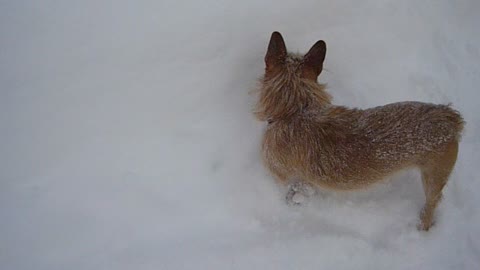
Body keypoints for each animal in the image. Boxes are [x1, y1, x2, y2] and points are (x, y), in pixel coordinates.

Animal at [256, 31, 464, 230]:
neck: (297, 109)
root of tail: (450, 117)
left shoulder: (280, 173)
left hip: (433, 177)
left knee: (432, 204)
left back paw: (422, 225)